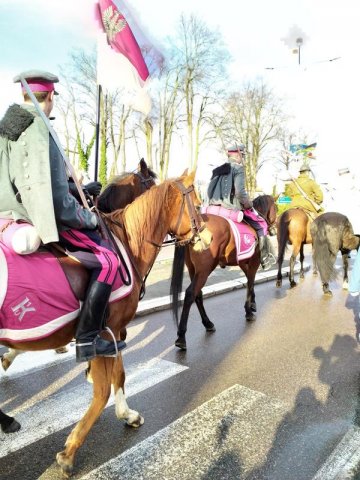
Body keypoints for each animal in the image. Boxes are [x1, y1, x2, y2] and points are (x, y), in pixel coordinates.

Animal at [0, 171, 211, 474]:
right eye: (197, 202)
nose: (207, 237)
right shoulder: (105, 333)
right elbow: (102, 391)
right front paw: (70, 450)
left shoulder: (116, 333)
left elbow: (118, 376)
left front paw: (127, 414)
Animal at [170, 194, 278, 348]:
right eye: (276, 208)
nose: (274, 229)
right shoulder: (254, 262)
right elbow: (250, 282)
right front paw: (248, 310)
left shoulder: (243, 262)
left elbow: (249, 281)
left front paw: (252, 304)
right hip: (205, 270)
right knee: (190, 293)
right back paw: (181, 336)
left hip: (193, 269)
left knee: (198, 293)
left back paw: (208, 323)